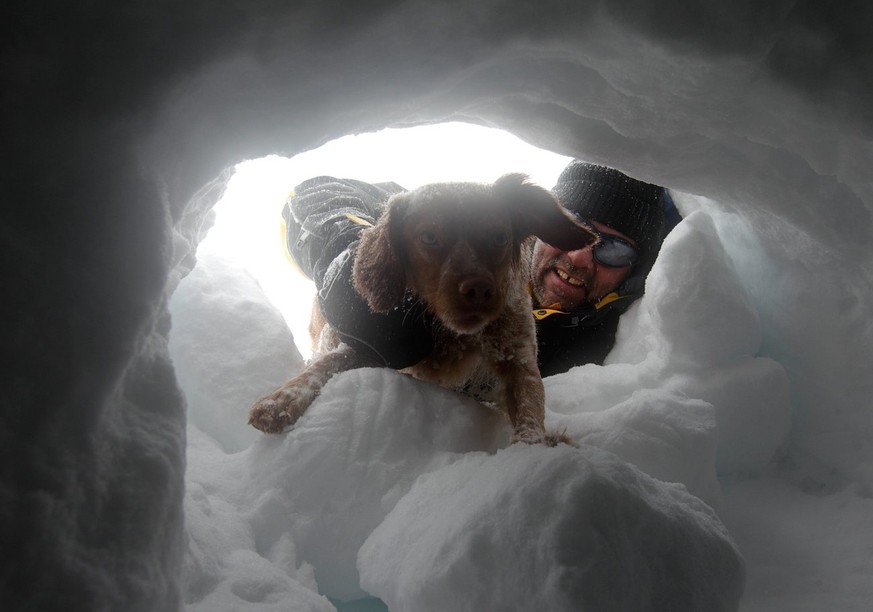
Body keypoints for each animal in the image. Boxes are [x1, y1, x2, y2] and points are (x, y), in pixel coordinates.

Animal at [249, 175, 596, 448]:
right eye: (429, 237)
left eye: (499, 237)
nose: (480, 290)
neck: (455, 337)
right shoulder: (376, 344)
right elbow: (330, 362)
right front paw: (281, 400)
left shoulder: (517, 359)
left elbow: (529, 409)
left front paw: (534, 448)